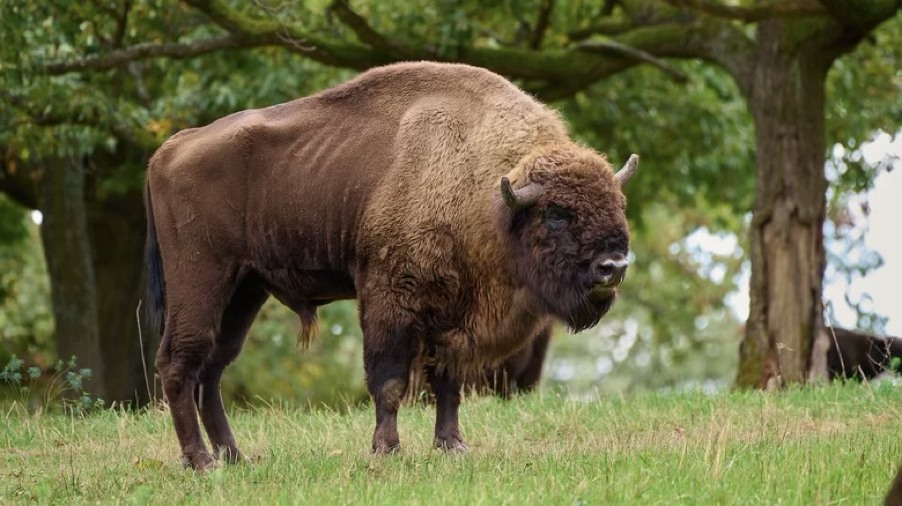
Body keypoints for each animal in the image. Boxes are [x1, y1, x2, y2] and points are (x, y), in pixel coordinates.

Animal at [145, 61, 636, 470]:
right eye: (556, 214)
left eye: (619, 204)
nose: (613, 266)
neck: (488, 195)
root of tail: (169, 149)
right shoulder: (389, 301)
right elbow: (389, 380)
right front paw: (387, 449)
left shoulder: (452, 318)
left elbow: (447, 382)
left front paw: (452, 446)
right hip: (201, 279)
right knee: (179, 361)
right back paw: (200, 462)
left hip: (246, 288)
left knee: (212, 365)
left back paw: (234, 456)